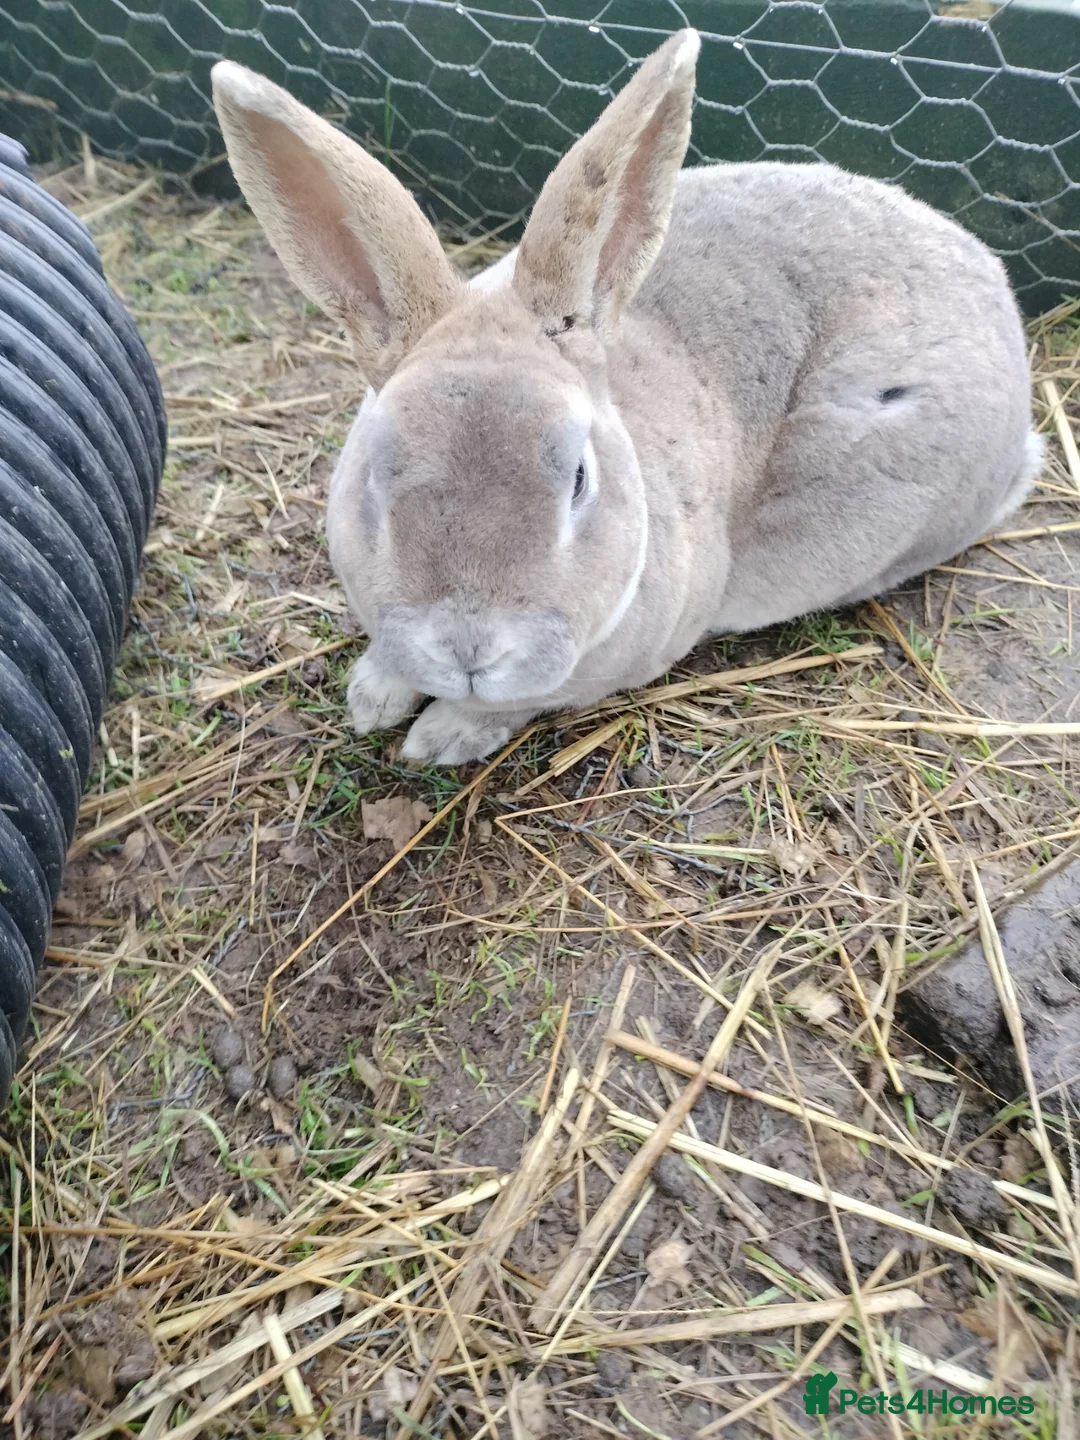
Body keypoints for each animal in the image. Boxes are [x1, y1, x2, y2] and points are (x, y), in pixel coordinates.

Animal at [211, 30, 1041, 765]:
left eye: (580, 479)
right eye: (375, 476)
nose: (468, 648)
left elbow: (517, 705)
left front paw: (440, 736)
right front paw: (373, 697)